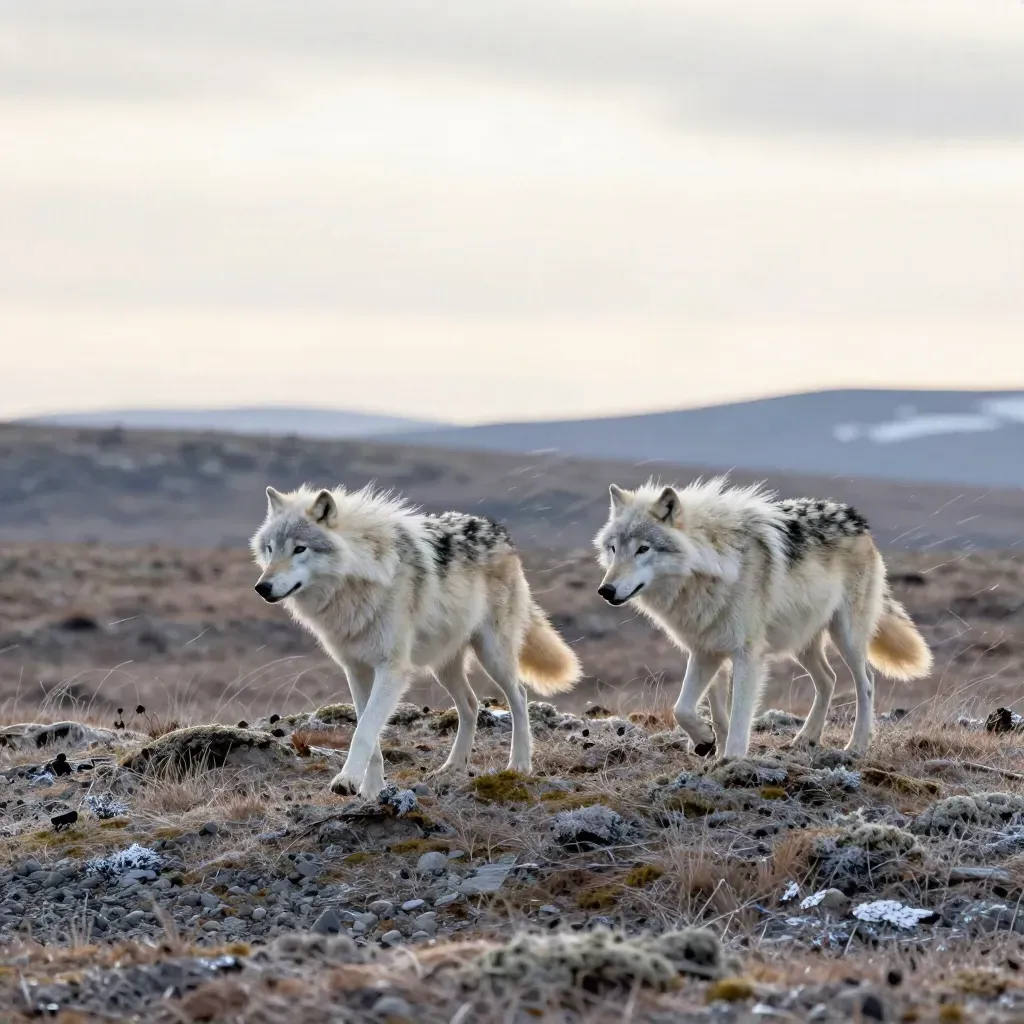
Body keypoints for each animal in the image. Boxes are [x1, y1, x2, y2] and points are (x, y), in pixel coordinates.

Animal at [251, 484, 581, 798]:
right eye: (270, 549)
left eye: (299, 549)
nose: (262, 587)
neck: (356, 581)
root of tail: (497, 530)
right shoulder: (356, 669)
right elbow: (369, 731)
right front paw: (372, 790)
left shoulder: (392, 669)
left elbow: (364, 731)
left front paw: (347, 781)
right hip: (444, 665)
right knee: (471, 704)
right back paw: (453, 766)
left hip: (493, 655)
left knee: (520, 697)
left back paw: (519, 765)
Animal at [594, 478, 932, 760]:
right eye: (614, 548)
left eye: (643, 549)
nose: (605, 590)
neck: (711, 566)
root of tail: (856, 519)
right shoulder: (706, 650)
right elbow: (687, 708)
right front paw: (706, 742)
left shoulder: (747, 655)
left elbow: (739, 715)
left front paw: (731, 760)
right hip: (801, 641)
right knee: (828, 679)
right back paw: (806, 739)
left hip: (845, 636)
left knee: (867, 683)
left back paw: (856, 746)